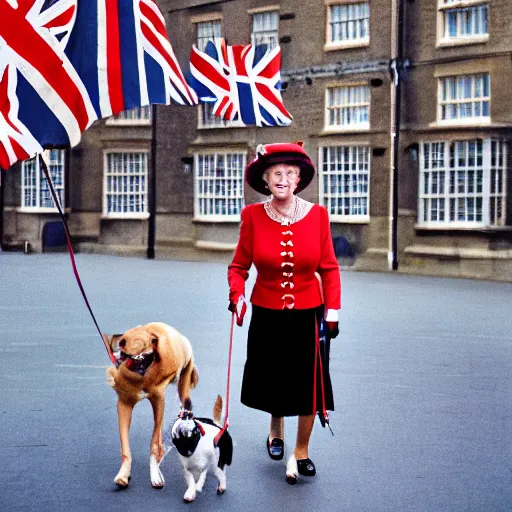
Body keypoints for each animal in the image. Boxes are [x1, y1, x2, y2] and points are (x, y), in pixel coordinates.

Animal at [106, 324, 198, 488]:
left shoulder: (158, 400)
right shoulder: (124, 403)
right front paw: (123, 474)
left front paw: (155, 474)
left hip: (184, 385)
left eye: (150, 342)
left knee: (185, 408)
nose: (120, 345)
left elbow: (154, 441)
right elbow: (125, 444)